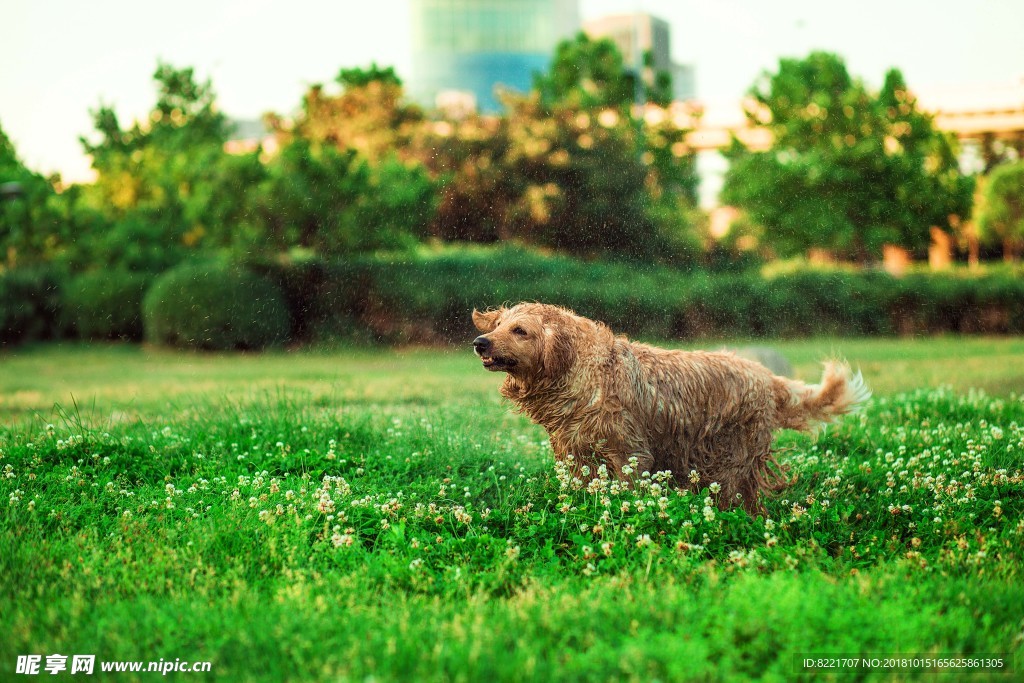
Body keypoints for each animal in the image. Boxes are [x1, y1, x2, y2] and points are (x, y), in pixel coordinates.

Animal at [468, 303, 864, 511]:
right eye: (499, 324)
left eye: (520, 330)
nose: (479, 342)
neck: (579, 370)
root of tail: (767, 376)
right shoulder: (574, 452)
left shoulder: (630, 452)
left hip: (732, 459)